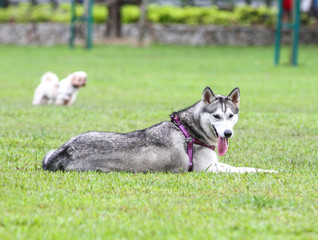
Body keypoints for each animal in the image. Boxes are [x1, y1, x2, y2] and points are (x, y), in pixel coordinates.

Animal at [41, 87, 276, 173]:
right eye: (216, 116)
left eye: (231, 116)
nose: (227, 134)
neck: (191, 131)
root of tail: (62, 151)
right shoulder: (208, 170)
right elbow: (243, 170)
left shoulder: (216, 164)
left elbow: (243, 166)